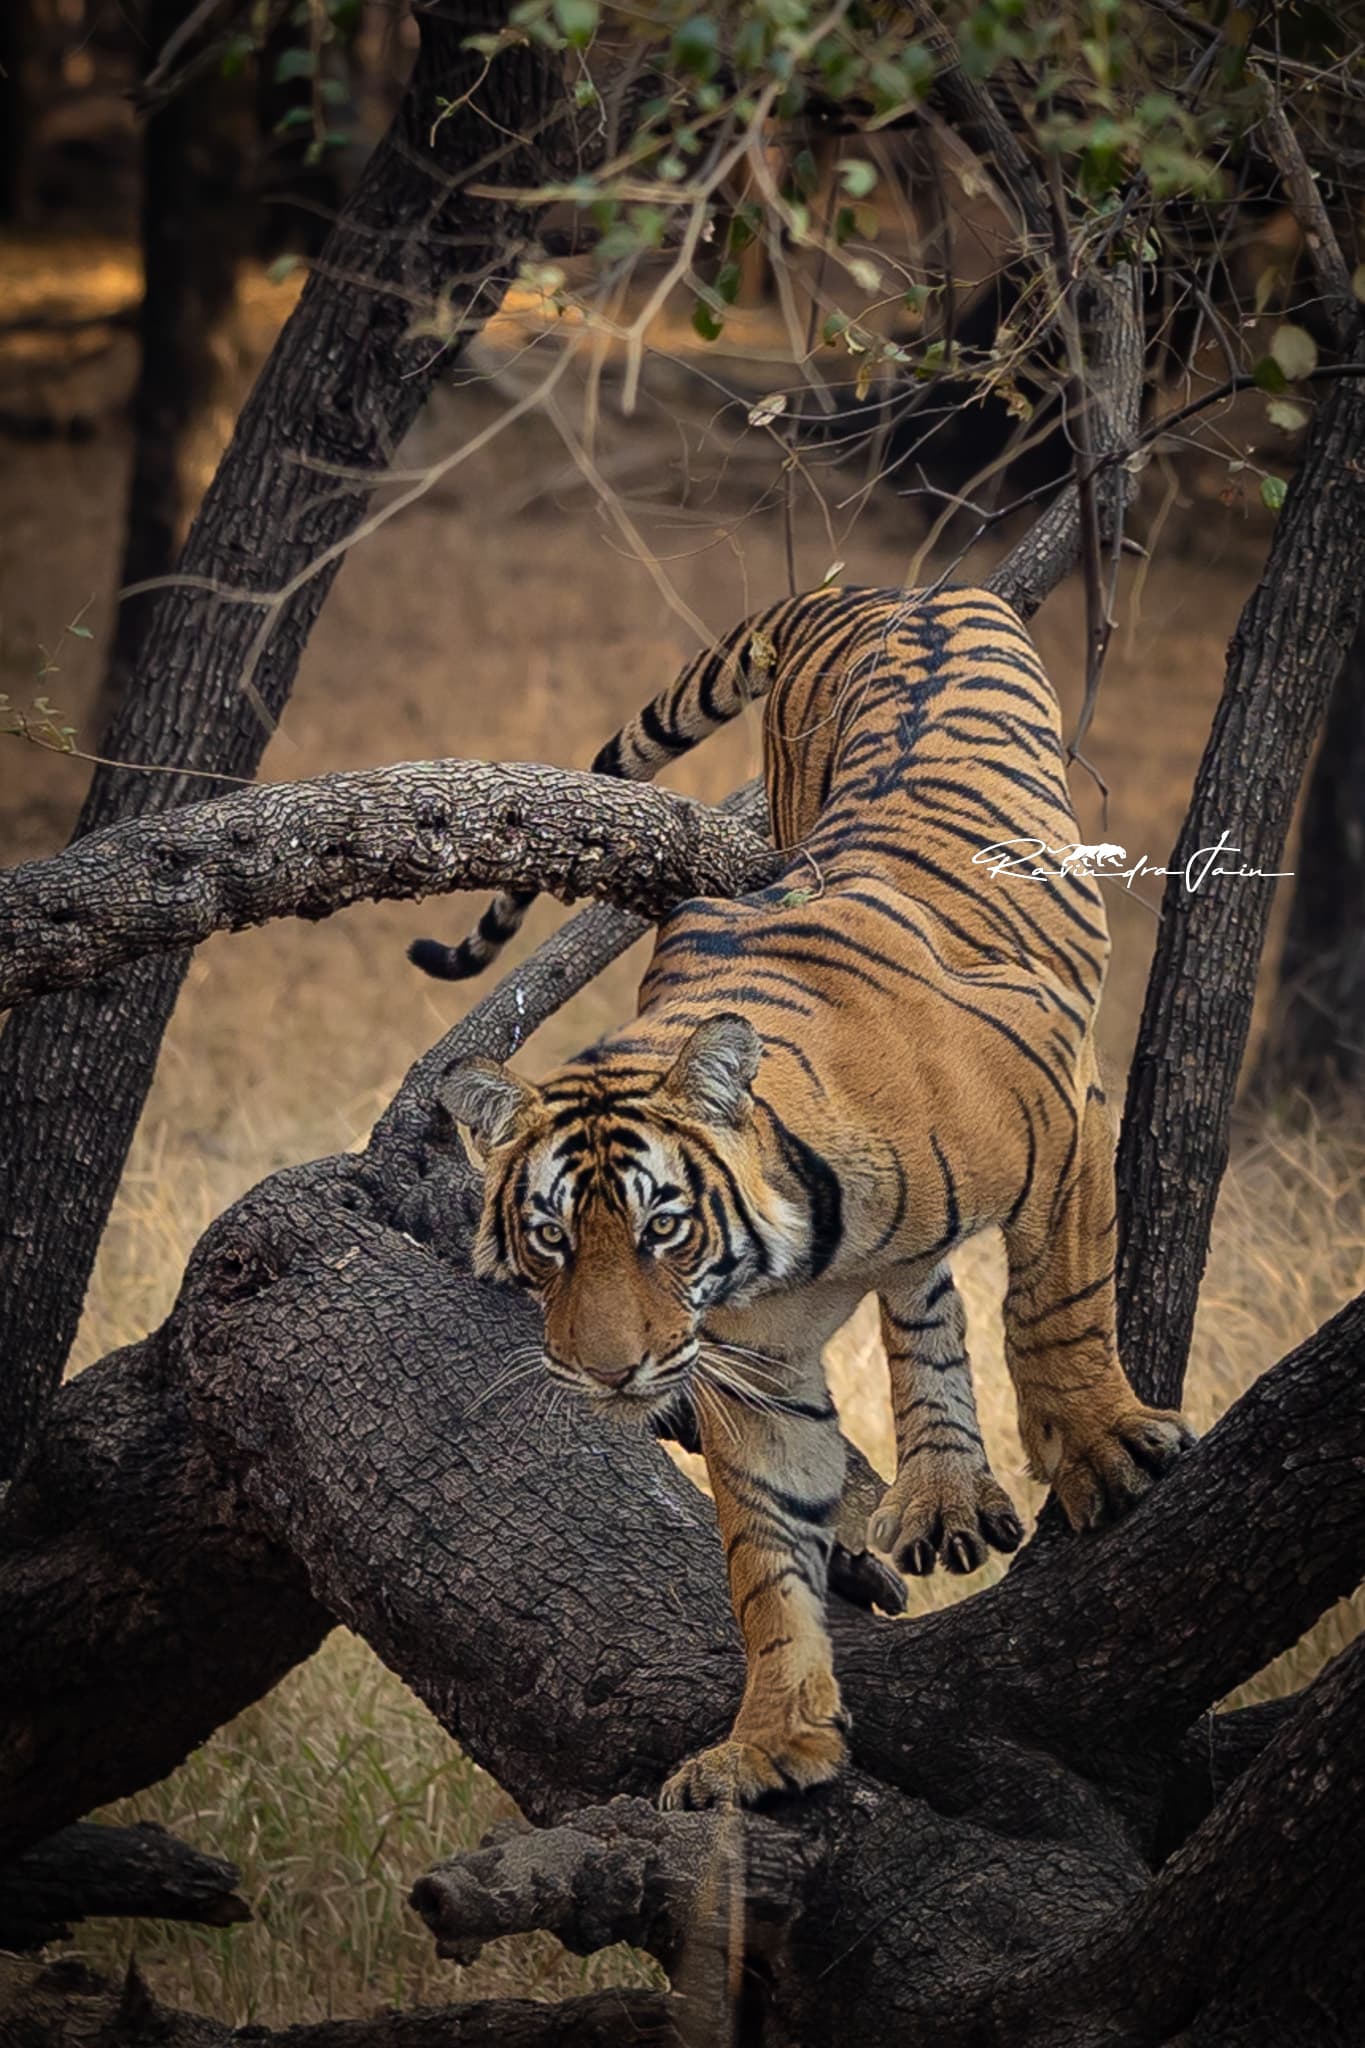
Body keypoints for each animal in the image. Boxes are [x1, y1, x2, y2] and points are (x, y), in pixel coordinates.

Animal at [421, 584, 1194, 1812]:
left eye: (661, 1227)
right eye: (548, 1240)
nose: (610, 1374)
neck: (789, 1255)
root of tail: (880, 591)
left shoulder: (1067, 1115)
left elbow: (1055, 1306)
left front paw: (1102, 1448)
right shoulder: (753, 1371)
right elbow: (766, 1558)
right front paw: (775, 1740)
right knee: (923, 1301)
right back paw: (943, 1492)